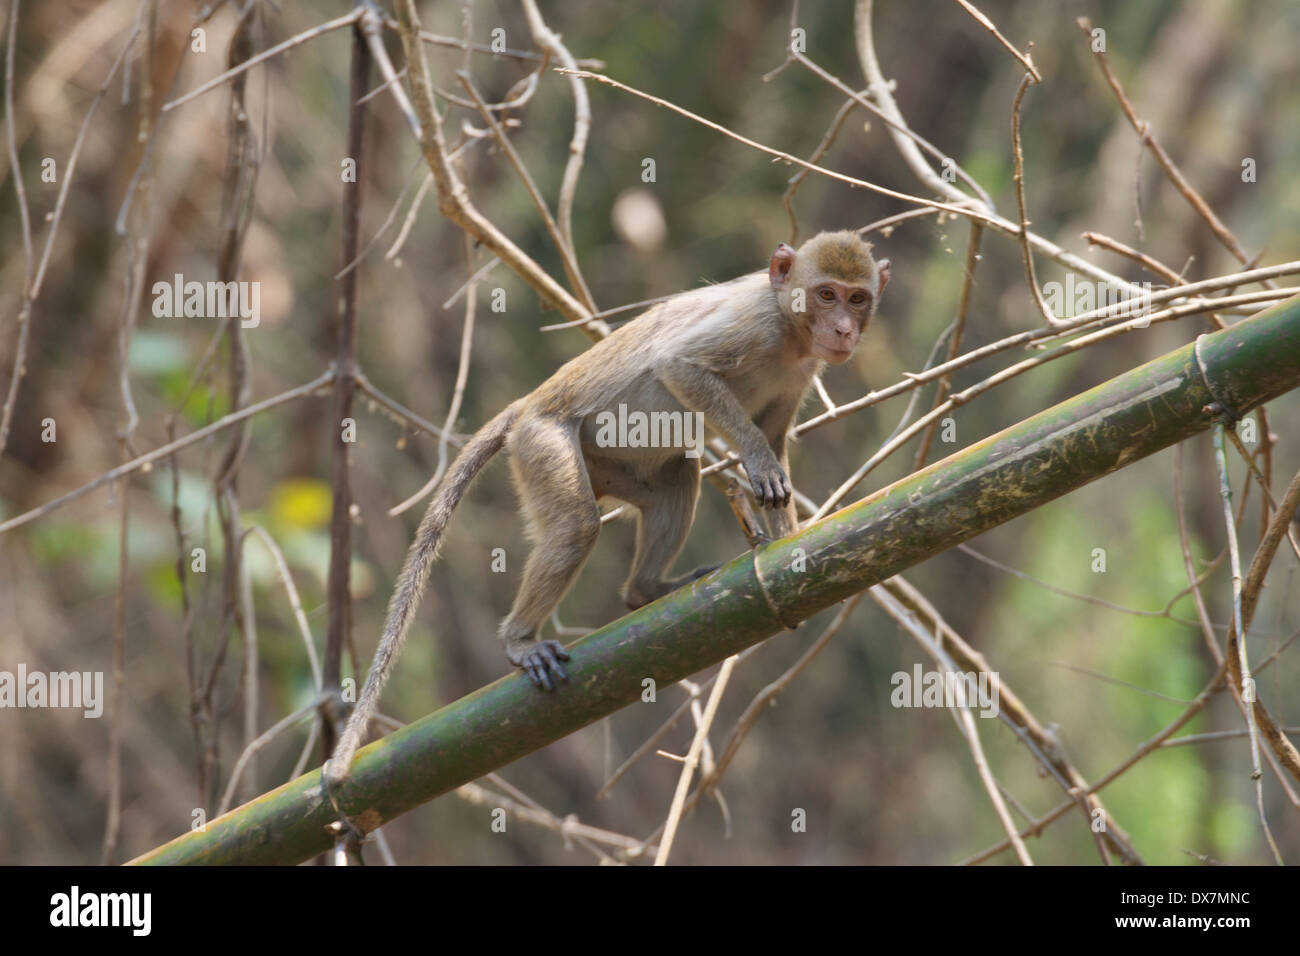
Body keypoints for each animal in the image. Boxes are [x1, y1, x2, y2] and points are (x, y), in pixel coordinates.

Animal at [323, 230, 889, 799]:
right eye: (825, 295)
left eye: (857, 299)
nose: (843, 329)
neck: (793, 334)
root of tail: (527, 403)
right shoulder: (755, 324)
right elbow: (680, 367)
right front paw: (758, 462)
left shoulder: (804, 369)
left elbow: (773, 435)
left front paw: (787, 542)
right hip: (542, 444)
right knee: (576, 526)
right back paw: (520, 640)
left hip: (614, 470)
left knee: (676, 476)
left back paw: (646, 589)